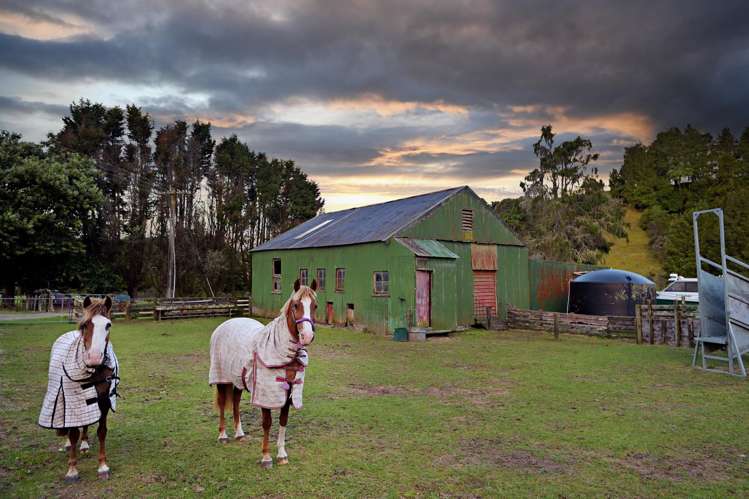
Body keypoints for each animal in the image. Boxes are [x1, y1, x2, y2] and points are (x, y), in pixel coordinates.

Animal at [38, 296, 118, 480]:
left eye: (108, 325)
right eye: (85, 325)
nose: (94, 358)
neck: (94, 371)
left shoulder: (103, 401)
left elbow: (102, 431)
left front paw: (102, 466)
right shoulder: (71, 400)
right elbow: (73, 433)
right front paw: (72, 470)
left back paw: (85, 444)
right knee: (68, 427)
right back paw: (69, 443)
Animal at [209, 282, 318, 468]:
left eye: (314, 306)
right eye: (296, 305)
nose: (307, 336)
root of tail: (226, 323)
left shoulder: (287, 393)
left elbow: (283, 421)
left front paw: (282, 455)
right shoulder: (265, 394)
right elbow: (267, 423)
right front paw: (266, 458)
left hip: (238, 380)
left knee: (236, 402)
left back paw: (239, 434)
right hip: (222, 379)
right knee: (223, 403)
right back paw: (223, 436)